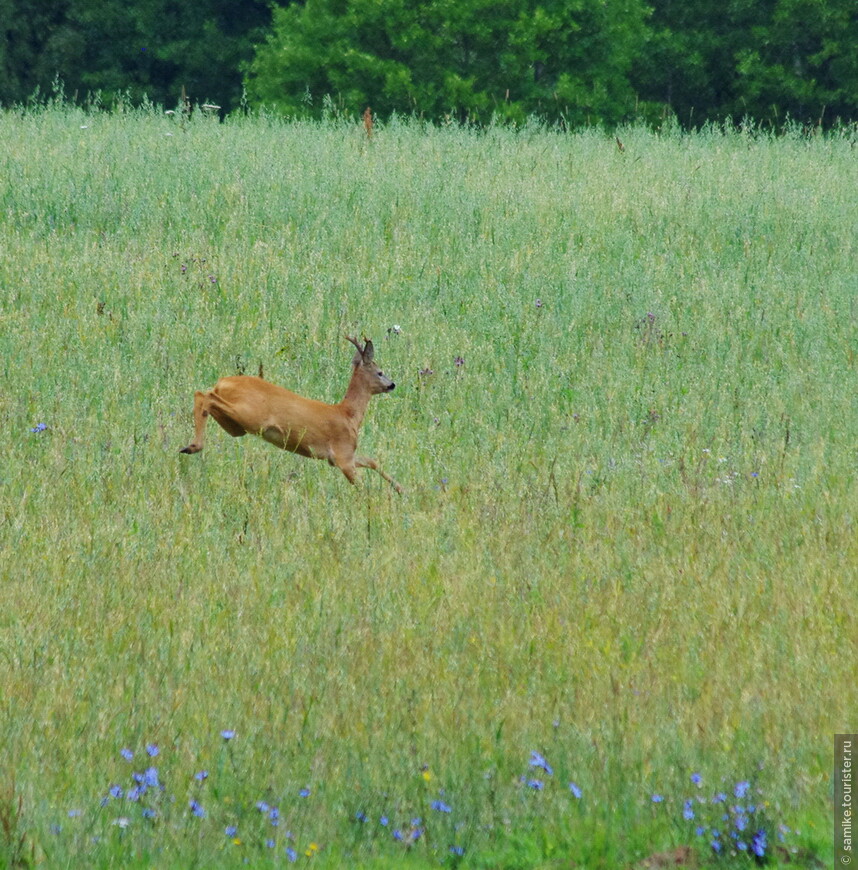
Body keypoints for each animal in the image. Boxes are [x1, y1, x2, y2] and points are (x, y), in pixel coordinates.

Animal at [181, 336, 402, 494]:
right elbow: (363, 486)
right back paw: (193, 446)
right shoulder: (343, 454)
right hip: (250, 415)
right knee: (204, 395)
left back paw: (190, 446)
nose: (392, 384)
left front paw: (401, 489)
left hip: (236, 426)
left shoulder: (339, 456)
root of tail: (222, 382)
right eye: (380, 372)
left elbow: (372, 460)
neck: (349, 414)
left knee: (204, 397)